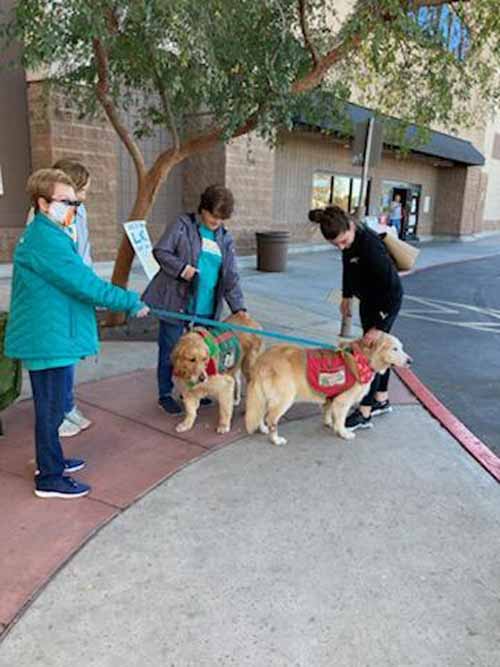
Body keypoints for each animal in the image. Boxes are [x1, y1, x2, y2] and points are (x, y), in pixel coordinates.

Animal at [245, 333, 412, 445]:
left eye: (401, 348)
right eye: (395, 349)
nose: (410, 361)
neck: (362, 359)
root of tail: (262, 359)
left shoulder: (331, 398)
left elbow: (328, 411)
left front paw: (329, 423)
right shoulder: (343, 401)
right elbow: (341, 419)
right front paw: (343, 432)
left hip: (265, 396)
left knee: (262, 414)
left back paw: (263, 429)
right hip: (284, 398)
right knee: (271, 418)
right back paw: (275, 439)